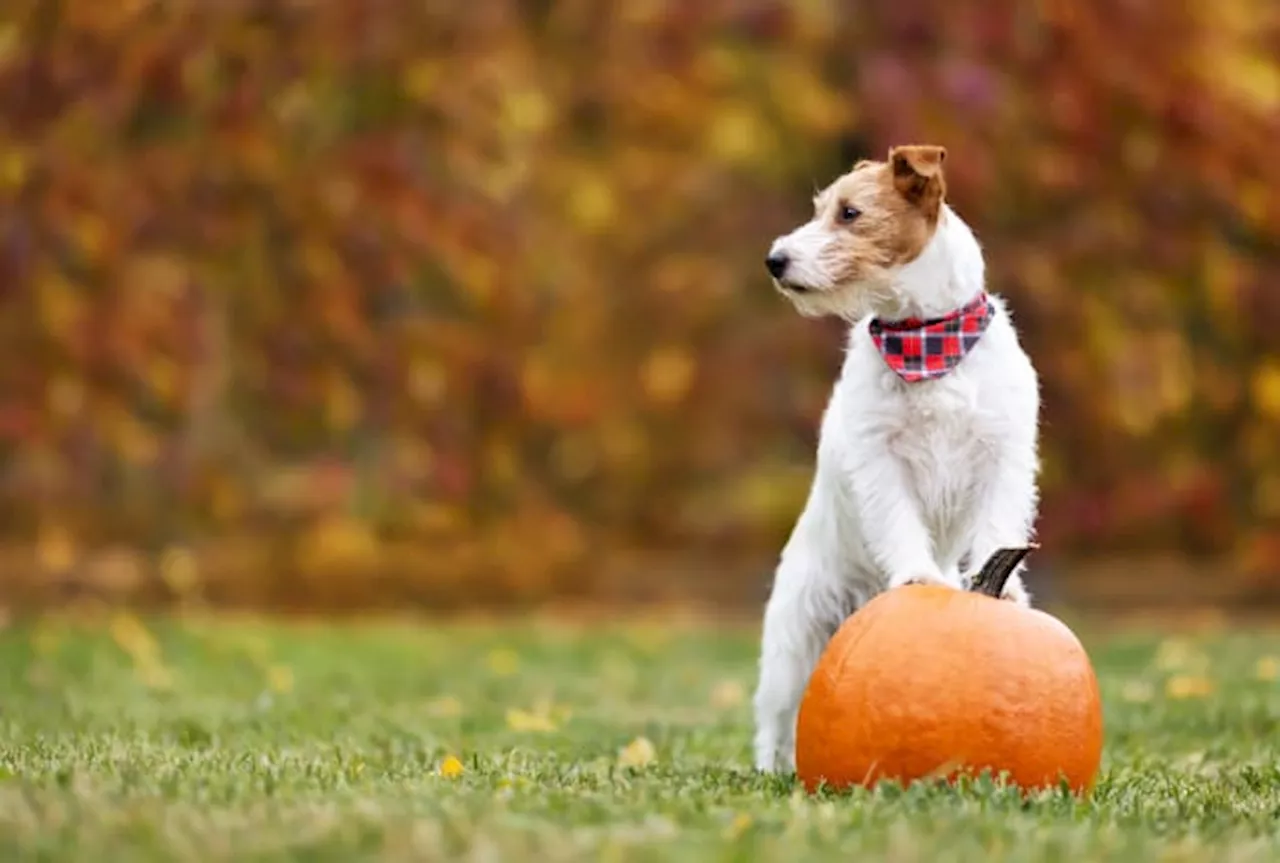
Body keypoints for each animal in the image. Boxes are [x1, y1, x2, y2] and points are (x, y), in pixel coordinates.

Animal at [747, 144, 1039, 768]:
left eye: (850, 213)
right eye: (821, 209)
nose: (774, 260)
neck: (926, 337)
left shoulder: (1004, 455)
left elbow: (999, 525)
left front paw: (1000, 590)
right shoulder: (880, 460)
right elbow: (900, 522)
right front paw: (917, 577)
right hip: (793, 642)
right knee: (775, 722)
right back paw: (771, 770)